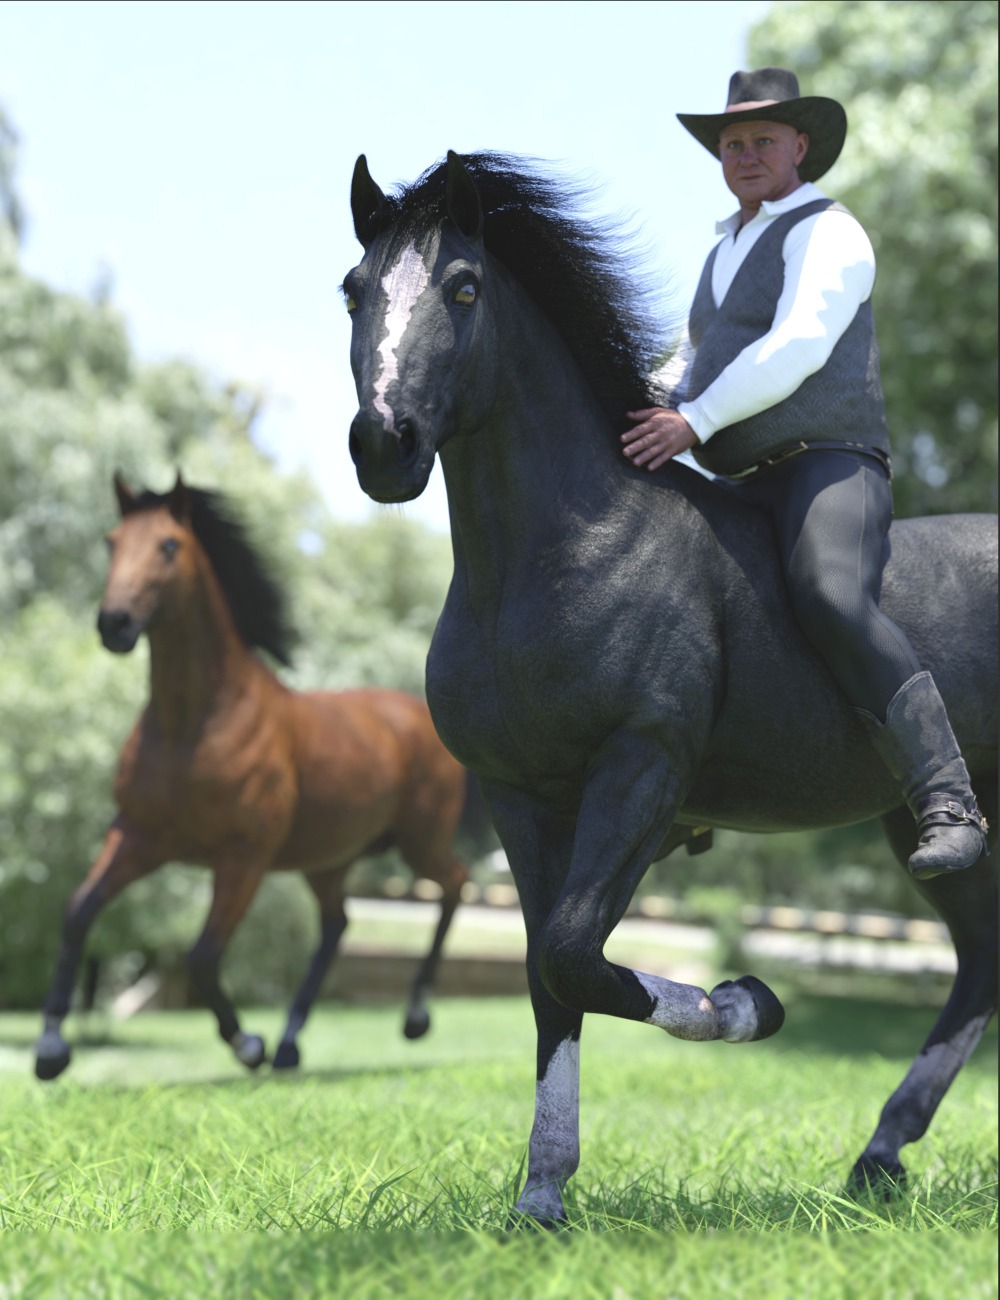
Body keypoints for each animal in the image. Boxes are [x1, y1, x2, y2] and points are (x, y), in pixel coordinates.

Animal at [34, 474, 481, 1079]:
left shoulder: (243, 855)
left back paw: (412, 1020)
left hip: (420, 843)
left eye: (169, 545)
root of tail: (418, 714)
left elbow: (202, 956)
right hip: (328, 862)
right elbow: (78, 911)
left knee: (455, 886)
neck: (192, 726)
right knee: (337, 927)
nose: (115, 624)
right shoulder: (138, 835)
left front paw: (248, 1044)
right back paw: (291, 1046)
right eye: (111, 542)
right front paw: (50, 1051)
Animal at [343, 151, 998, 1225]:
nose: (383, 445)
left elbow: (573, 952)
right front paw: (542, 1198)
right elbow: (548, 974)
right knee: (982, 965)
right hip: (922, 826)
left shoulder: (642, 769)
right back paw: (878, 1159)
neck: (560, 552)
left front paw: (746, 1003)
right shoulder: (521, 796)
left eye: (464, 288)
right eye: (354, 290)